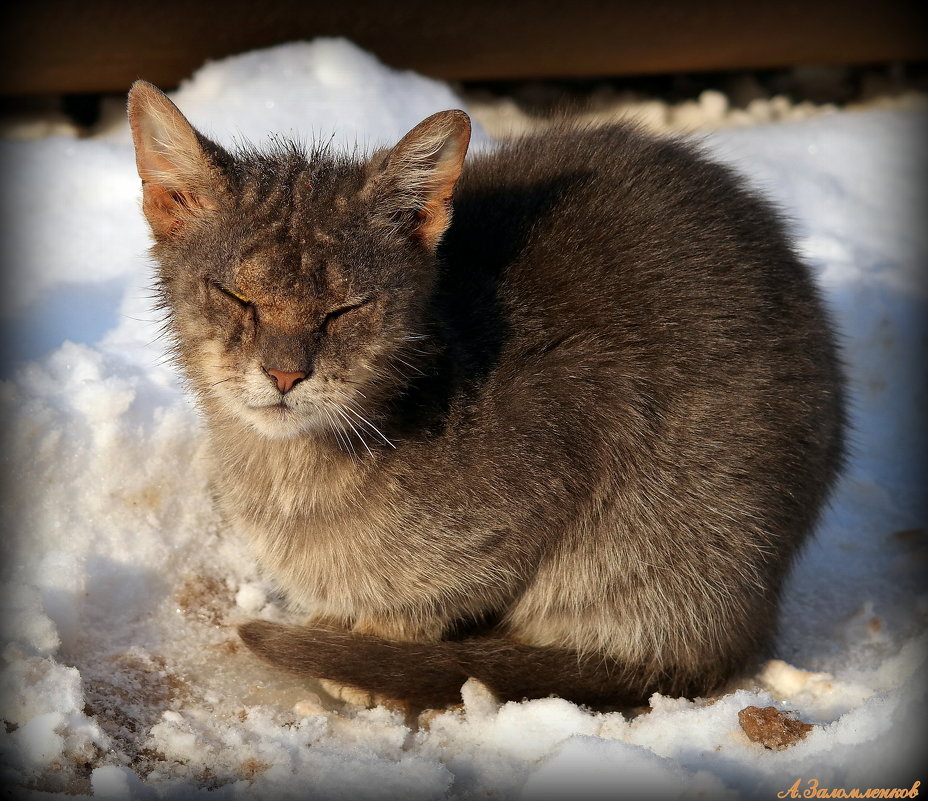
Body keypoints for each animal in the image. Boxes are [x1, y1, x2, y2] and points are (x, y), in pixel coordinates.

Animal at [127, 79, 844, 708]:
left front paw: (371, 652)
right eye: (237, 295)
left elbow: (433, 597)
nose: (284, 374)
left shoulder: (573, 430)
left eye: (344, 309)